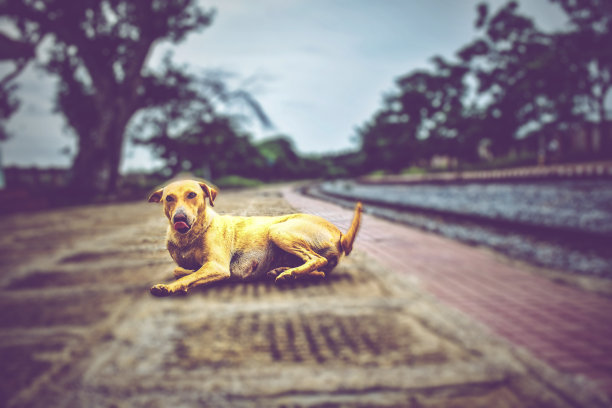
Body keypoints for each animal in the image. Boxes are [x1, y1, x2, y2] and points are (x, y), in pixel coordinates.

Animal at [146, 179, 360, 296]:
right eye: (169, 198)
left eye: (192, 195)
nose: (179, 218)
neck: (190, 235)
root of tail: (340, 234)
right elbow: (180, 271)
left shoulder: (217, 266)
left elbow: (187, 277)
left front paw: (168, 288)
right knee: (320, 270)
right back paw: (283, 271)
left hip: (278, 230)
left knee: (317, 259)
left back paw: (288, 273)